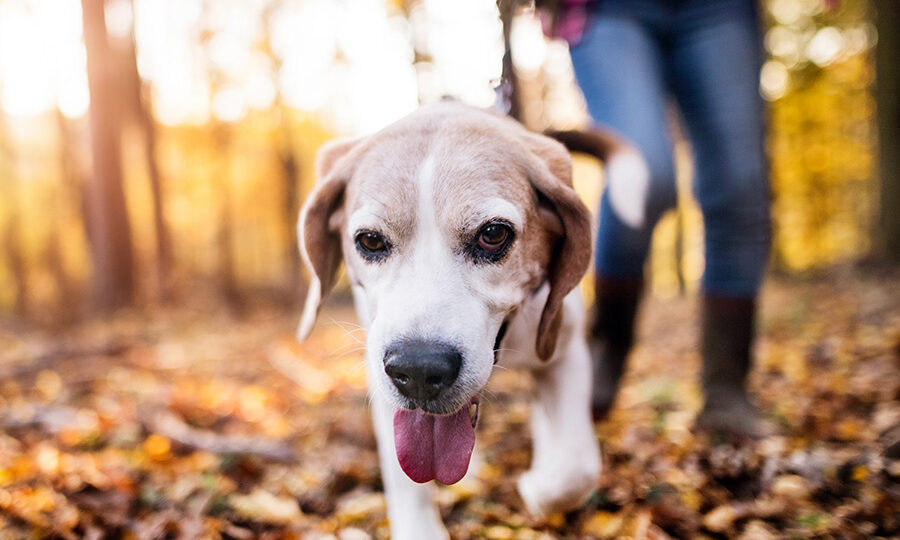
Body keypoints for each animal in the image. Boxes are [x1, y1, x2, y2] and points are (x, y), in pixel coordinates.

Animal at [296, 103, 640, 536]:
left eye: (492, 234)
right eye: (370, 241)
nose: (419, 370)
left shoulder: (564, 352)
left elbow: (574, 470)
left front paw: (537, 488)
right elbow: (406, 481)